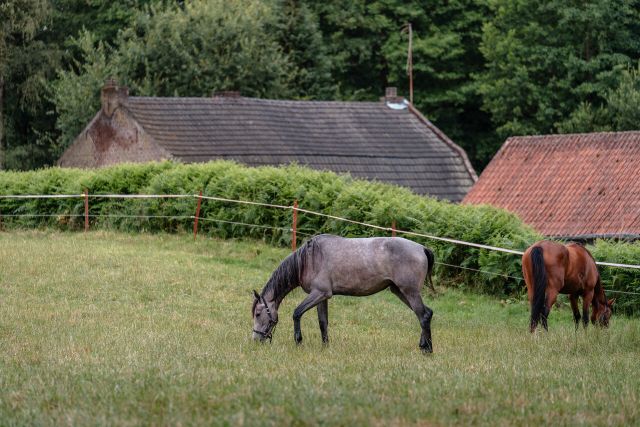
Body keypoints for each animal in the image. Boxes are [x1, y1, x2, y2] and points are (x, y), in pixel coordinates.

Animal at [250, 236, 436, 352]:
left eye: (258, 314)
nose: (255, 339)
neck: (309, 259)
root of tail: (422, 248)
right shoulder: (321, 297)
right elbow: (323, 322)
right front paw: (325, 347)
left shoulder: (319, 293)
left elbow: (296, 313)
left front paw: (299, 341)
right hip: (400, 291)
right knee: (426, 313)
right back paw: (423, 345)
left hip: (409, 292)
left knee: (423, 316)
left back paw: (428, 350)